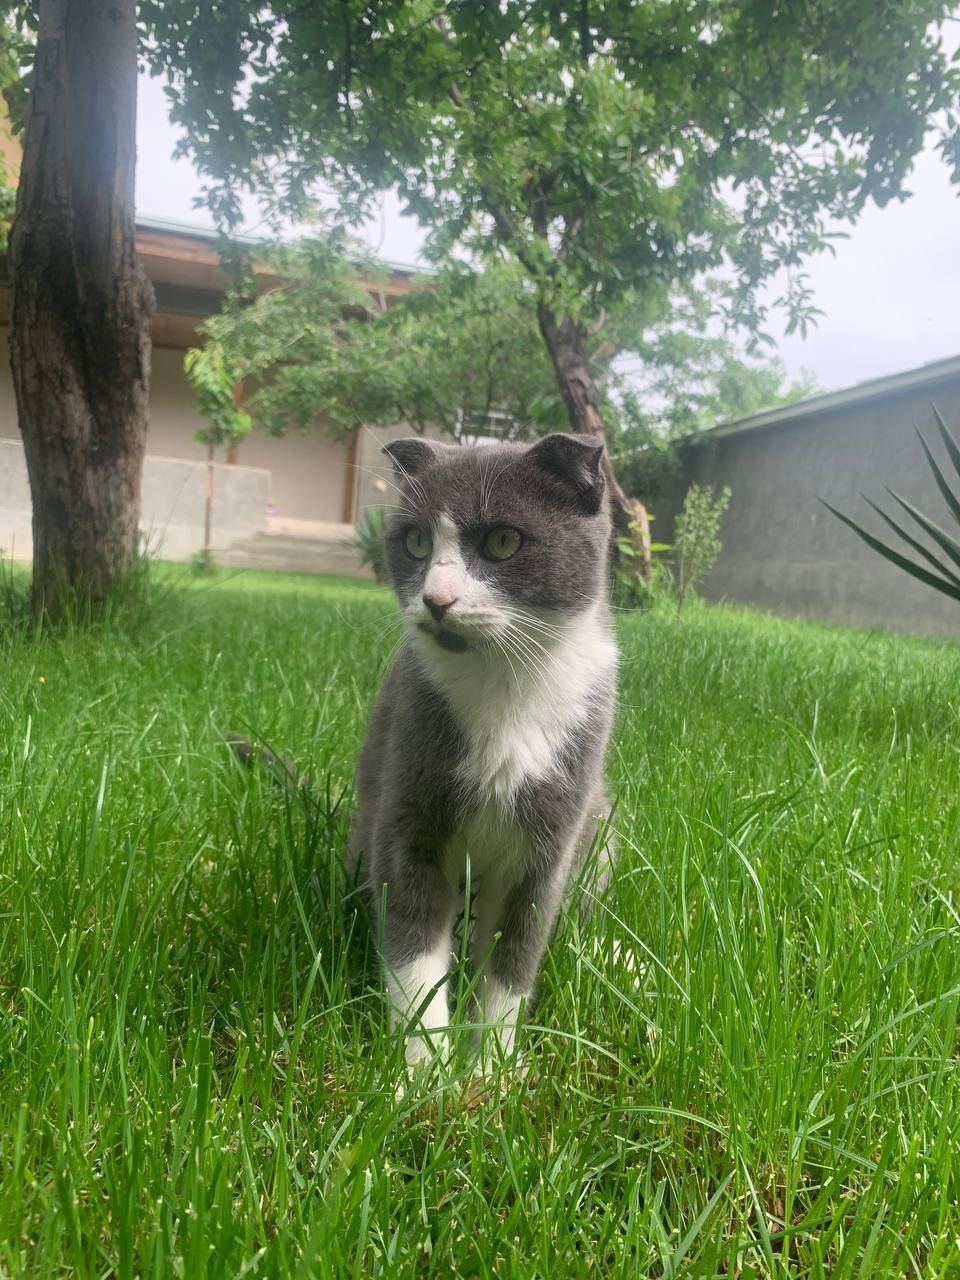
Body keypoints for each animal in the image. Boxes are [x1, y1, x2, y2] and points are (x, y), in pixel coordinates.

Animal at [350, 435, 616, 1064]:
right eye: (417, 542)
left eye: (503, 541)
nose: (436, 598)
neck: (503, 685)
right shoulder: (408, 805)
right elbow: (413, 950)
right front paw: (421, 1072)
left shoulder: (547, 844)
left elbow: (514, 958)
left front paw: (491, 1070)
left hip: (599, 821)